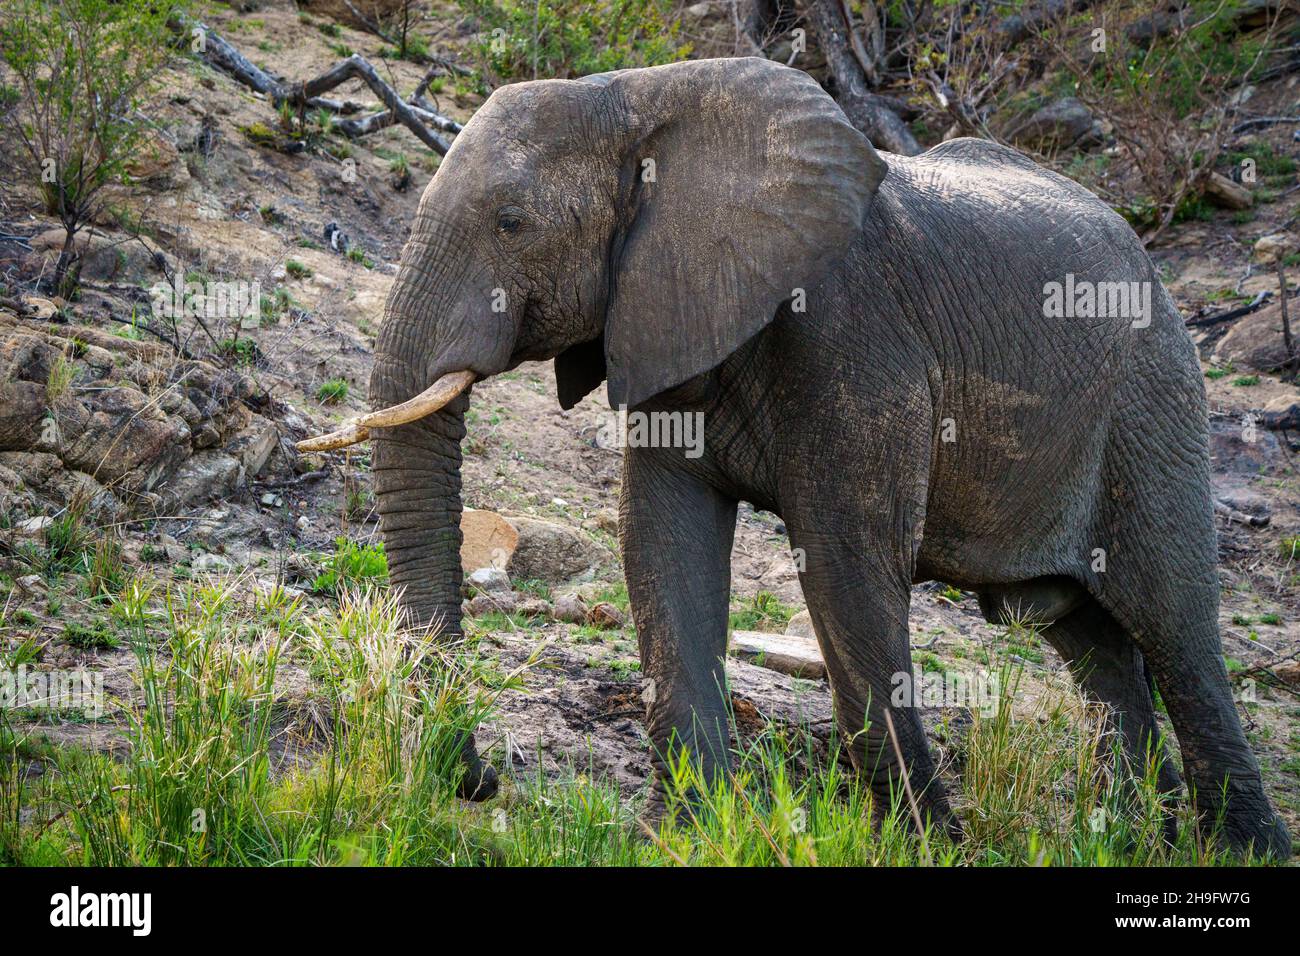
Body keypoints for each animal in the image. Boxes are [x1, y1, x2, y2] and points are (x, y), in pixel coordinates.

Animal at [301, 54, 1289, 858]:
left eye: (512, 222)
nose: (479, 781)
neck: (639, 96)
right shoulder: (665, 308)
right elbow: (661, 540)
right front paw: (683, 835)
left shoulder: (857, 334)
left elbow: (846, 561)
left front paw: (921, 846)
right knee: (1088, 637)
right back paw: (1135, 841)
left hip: (1154, 399)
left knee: (1174, 624)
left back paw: (1242, 852)